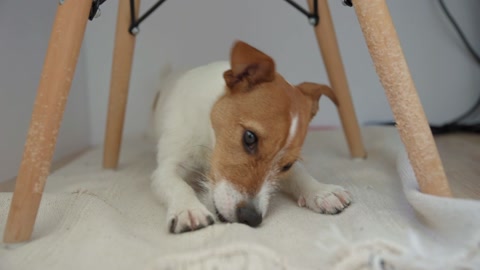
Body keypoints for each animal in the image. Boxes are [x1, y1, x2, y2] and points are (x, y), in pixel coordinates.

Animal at [150, 41, 352, 233]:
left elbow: (300, 173)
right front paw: (188, 209)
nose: (251, 218)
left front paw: (321, 191)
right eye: (249, 137)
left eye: (287, 165)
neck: (210, 140)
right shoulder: (166, 168)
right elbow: (178, 185)